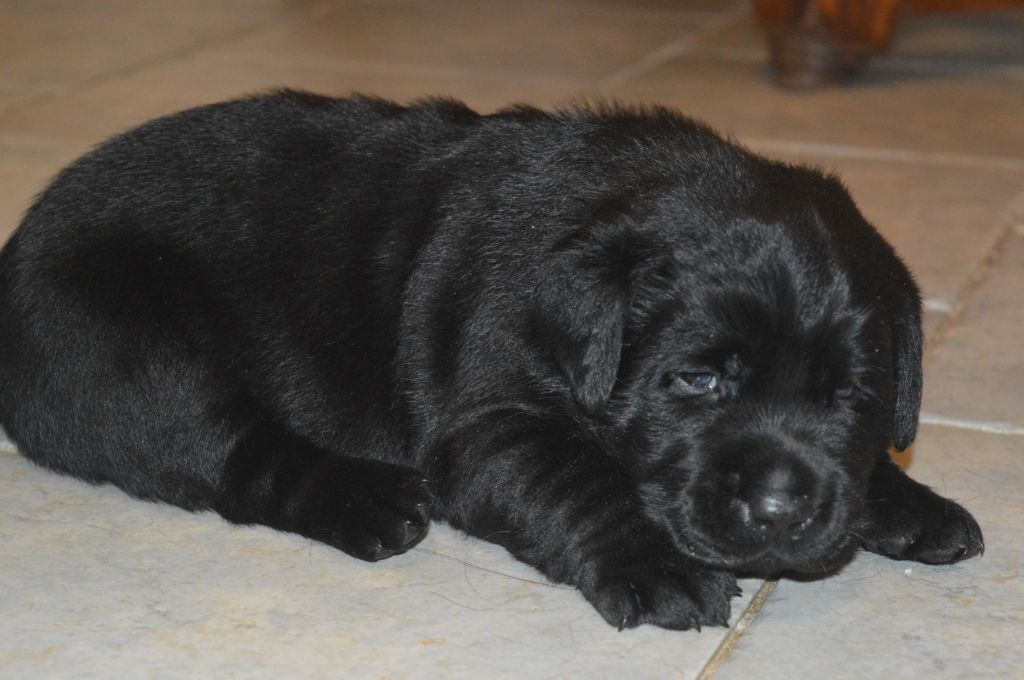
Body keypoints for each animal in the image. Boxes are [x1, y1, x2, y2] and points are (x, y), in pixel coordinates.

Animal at [0, 91, 978, 630]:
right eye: (698, 380)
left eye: (850, 394)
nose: (780, 508)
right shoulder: (490, 422)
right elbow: (583, 481)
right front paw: (653, 565)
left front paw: (905, 502)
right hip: (120, 349)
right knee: (233, 454)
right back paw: (365, 500)